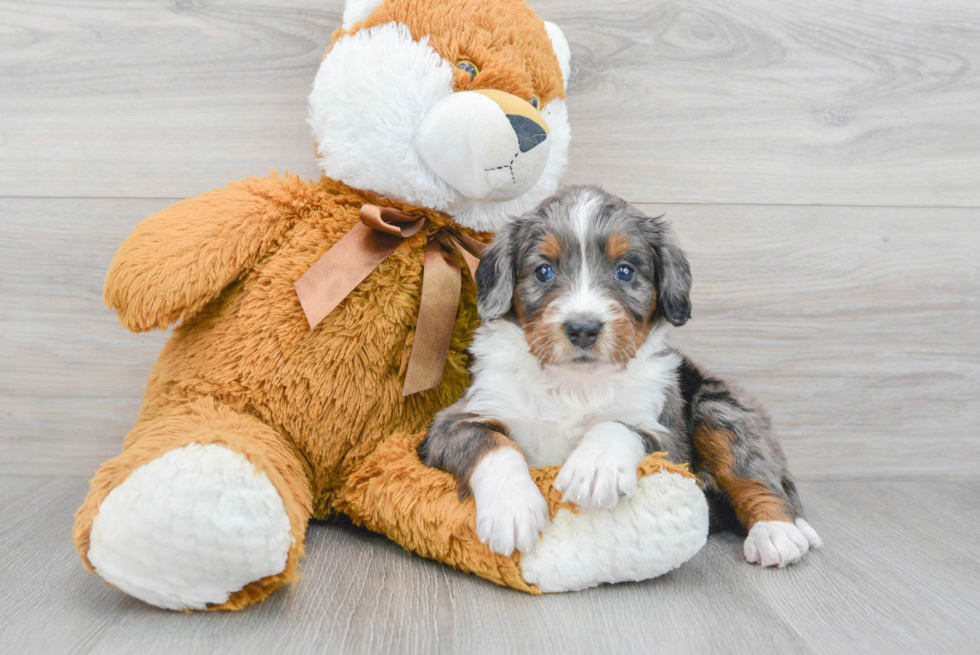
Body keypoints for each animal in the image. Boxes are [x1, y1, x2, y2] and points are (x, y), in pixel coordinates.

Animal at [418, 186, 824, 568]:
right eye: (543, 271)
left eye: (625, 271)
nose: (583, 328)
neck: (574, 385)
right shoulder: (456, 418)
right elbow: (493, 444)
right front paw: (513, 510)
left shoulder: (667, 438)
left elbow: (617, 424)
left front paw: (595, 469)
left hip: (719, 408)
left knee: (758, 480)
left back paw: (777, 532)